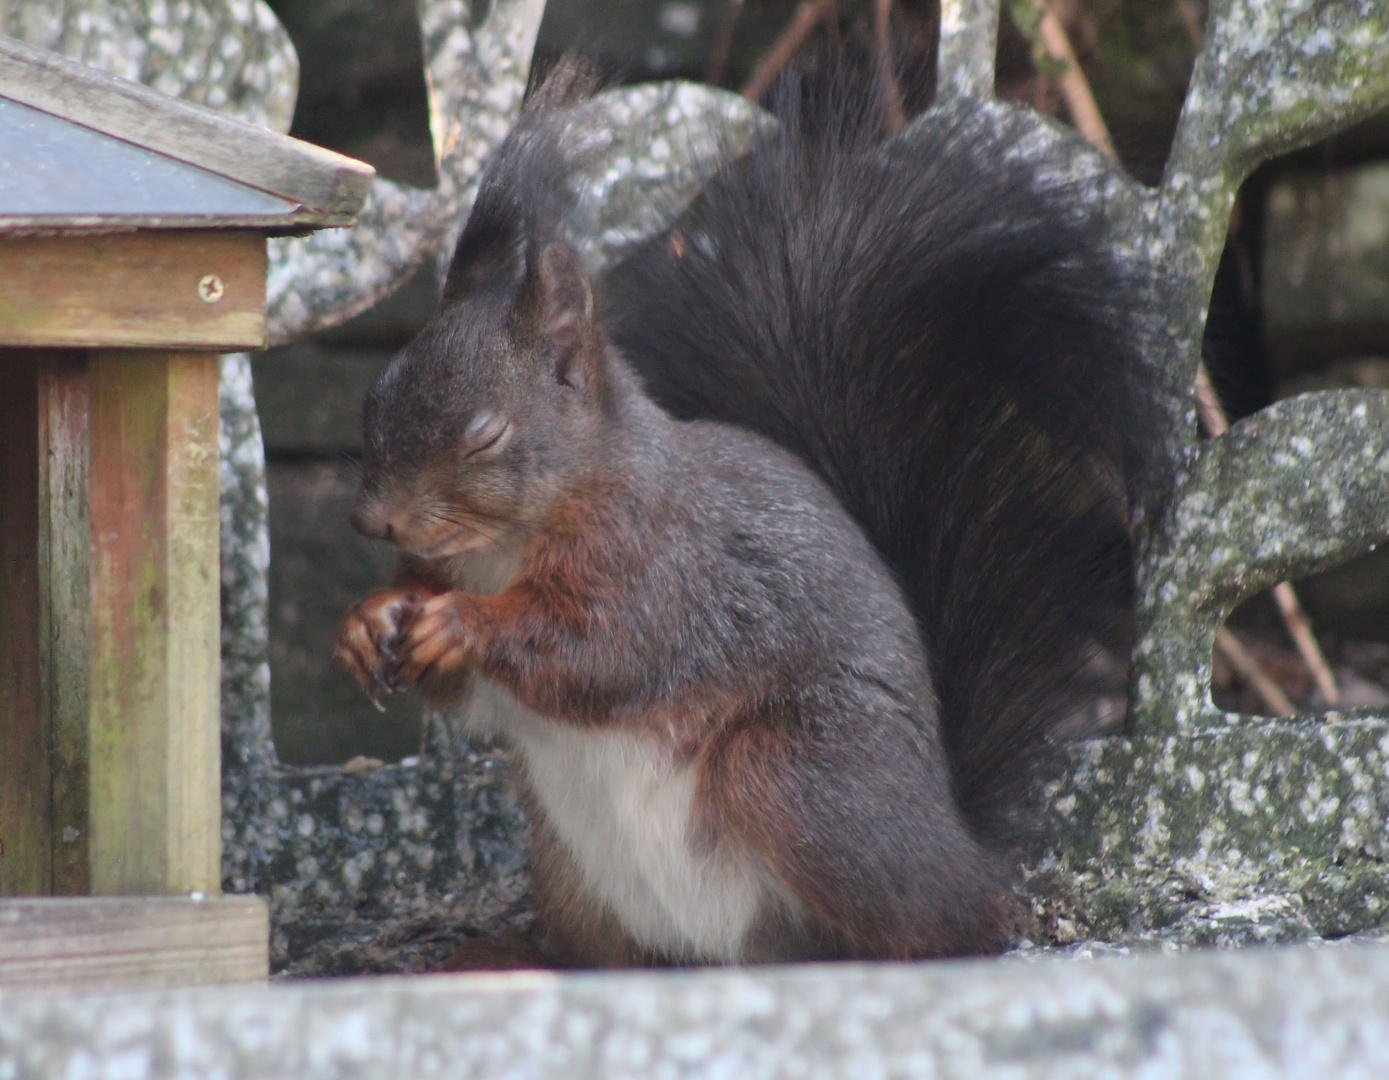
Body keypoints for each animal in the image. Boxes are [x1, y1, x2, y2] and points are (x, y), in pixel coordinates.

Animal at [336, 63, 1161, 966]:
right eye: (374, 398)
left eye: (485, 434)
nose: (374, 522)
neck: (502, 548)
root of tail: (956, 834)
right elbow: (474, 695)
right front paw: (370, 620)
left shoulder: (660, 570)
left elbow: (595, 651)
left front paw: (459, 622)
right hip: (570, 869)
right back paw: (518, 956)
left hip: (797, 778)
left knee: (951, 918)